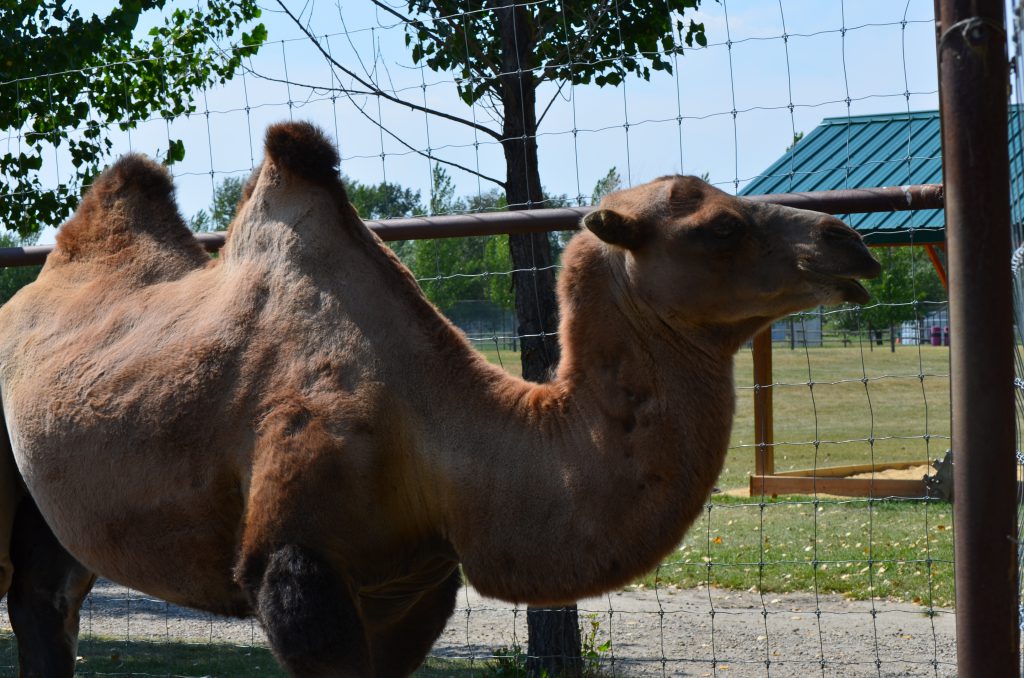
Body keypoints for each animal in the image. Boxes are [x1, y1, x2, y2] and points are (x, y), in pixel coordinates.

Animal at [0, 123, 880, 678]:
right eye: (719, 227)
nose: (850, 243)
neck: (438, 437)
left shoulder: (409, 581)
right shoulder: (292, 566)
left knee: (47, 601)